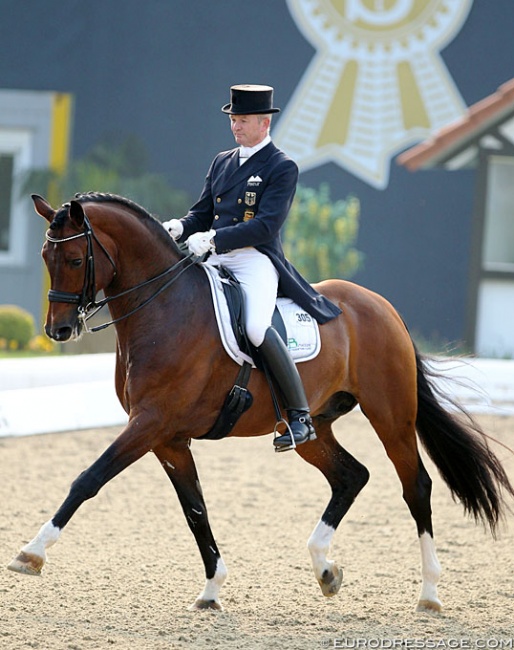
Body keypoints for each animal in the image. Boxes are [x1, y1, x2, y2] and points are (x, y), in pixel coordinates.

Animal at [7, 190, 508, 612]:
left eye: (75, 258)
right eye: (46, 257)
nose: (58, 330)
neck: (165, 309)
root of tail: (383, 307)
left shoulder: (150, 423)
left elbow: (88, 479)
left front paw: (31, 553)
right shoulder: (168, 438)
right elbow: (195, 510)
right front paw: (212, 589)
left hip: (391, 416)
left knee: (415, 487)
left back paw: (429, 594)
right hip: (312, 427)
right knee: (351, 476)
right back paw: (325, 569)